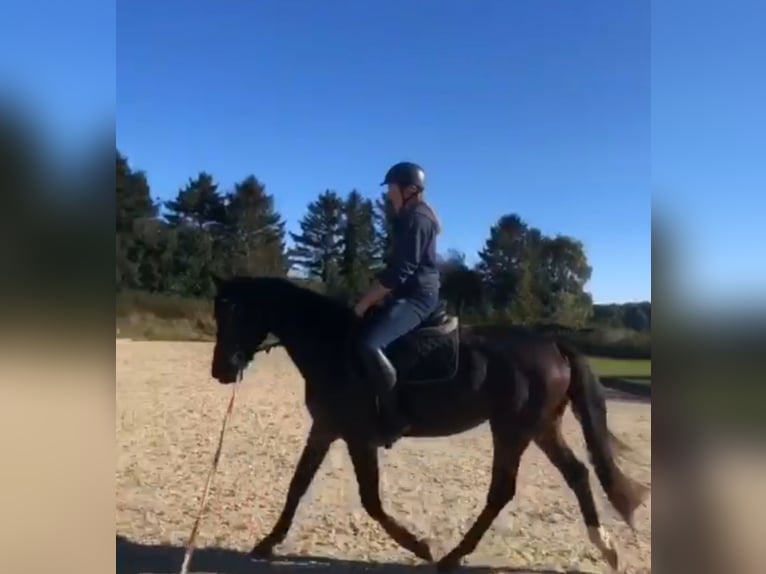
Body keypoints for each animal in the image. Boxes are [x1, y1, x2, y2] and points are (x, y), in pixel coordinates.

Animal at [212, 276, 656, 572]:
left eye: (235, 313)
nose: (221, 371)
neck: (332, 347)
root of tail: (552, 344)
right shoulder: (325, 428)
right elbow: (298, 484)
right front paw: (268, 542)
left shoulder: (357, 437)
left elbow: (370, 500)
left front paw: (418, 546)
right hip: (541, 428)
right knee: (577, 474)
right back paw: (606, 547)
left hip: (512, 430)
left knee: (503, 490)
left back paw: (451, 556)